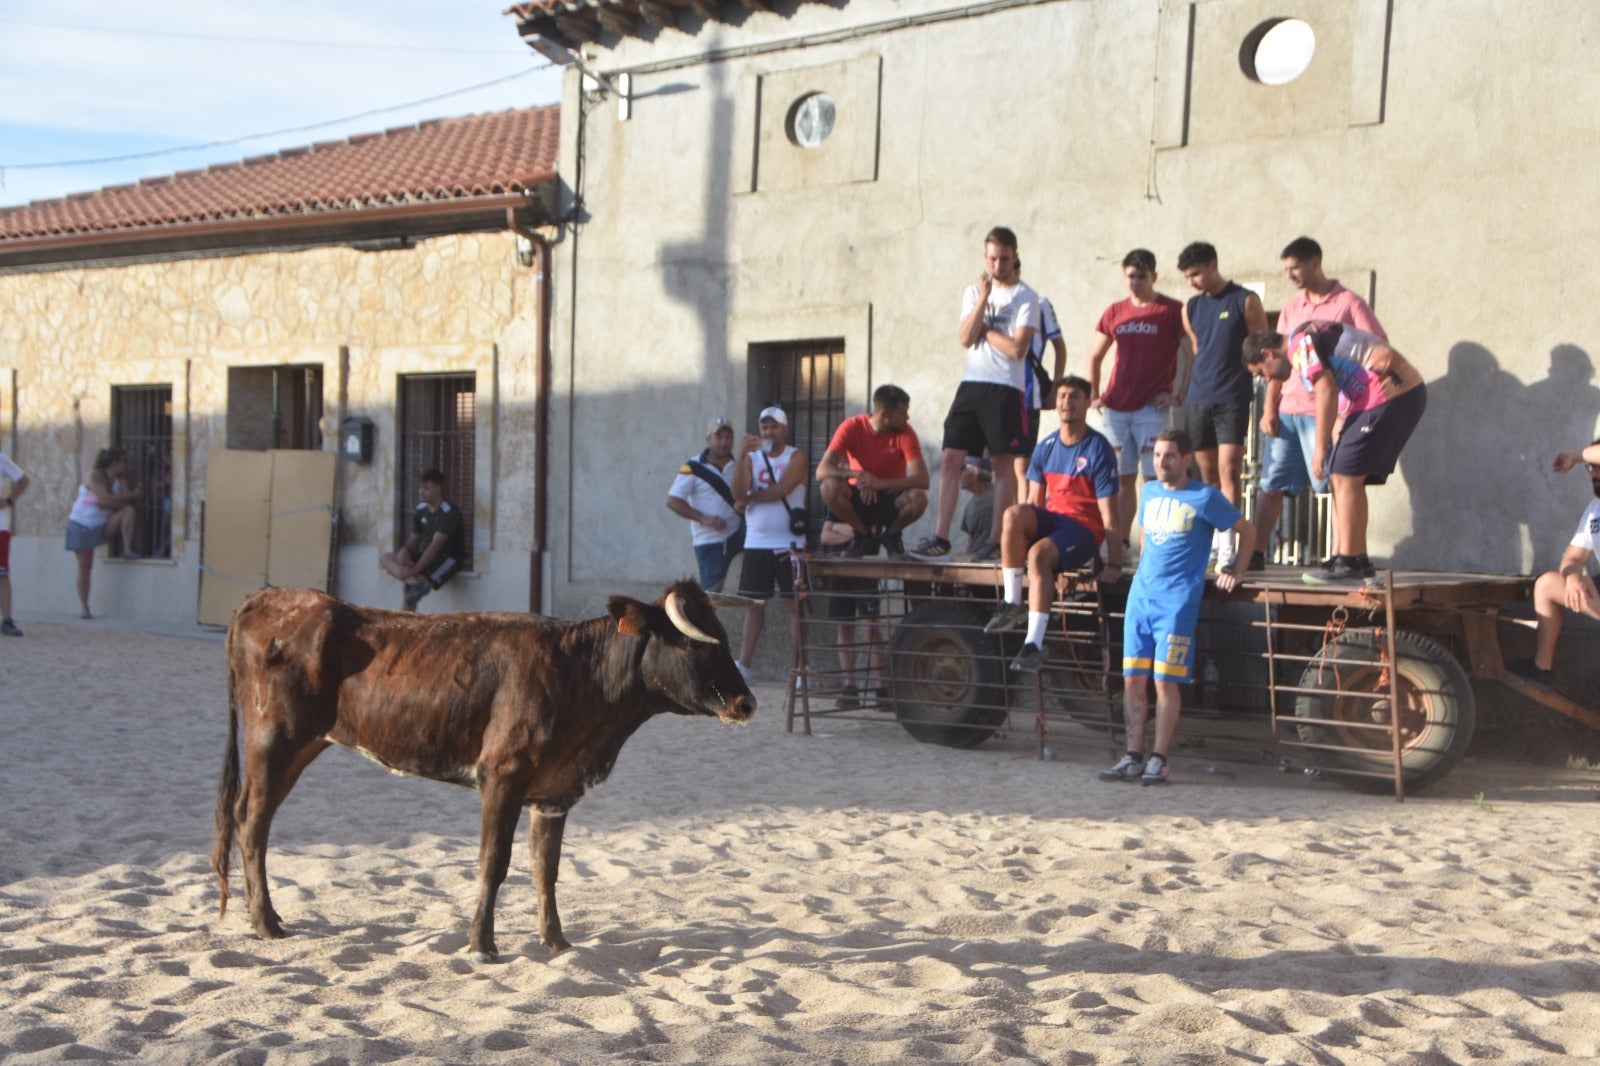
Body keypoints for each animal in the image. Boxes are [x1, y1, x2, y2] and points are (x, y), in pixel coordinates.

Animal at [214, 576, 755, 960]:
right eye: (695, 643)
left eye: (726, 638)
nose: (746, 703)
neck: (581, 673)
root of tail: (270, 598)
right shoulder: (502, 776)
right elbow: (493, 861)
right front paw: (481, 944)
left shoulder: (554, 790)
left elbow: (545, 867)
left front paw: (556, 942)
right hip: (273, 739)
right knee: (252, 821)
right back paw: (265, 923)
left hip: (302, 745)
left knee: (250, 818)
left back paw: (265, 918)